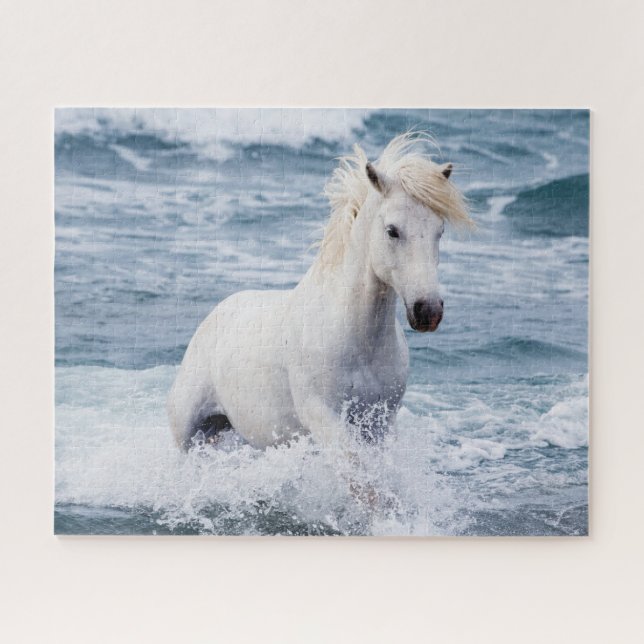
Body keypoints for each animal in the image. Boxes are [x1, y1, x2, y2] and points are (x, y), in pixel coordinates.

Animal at [167, 132, 472, 452]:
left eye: (440, 231)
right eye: (392, 230)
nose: (428, 311)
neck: (356, 339)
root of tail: (215, 314)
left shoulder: (380, 422)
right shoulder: (322, 416)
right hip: (187, 432)